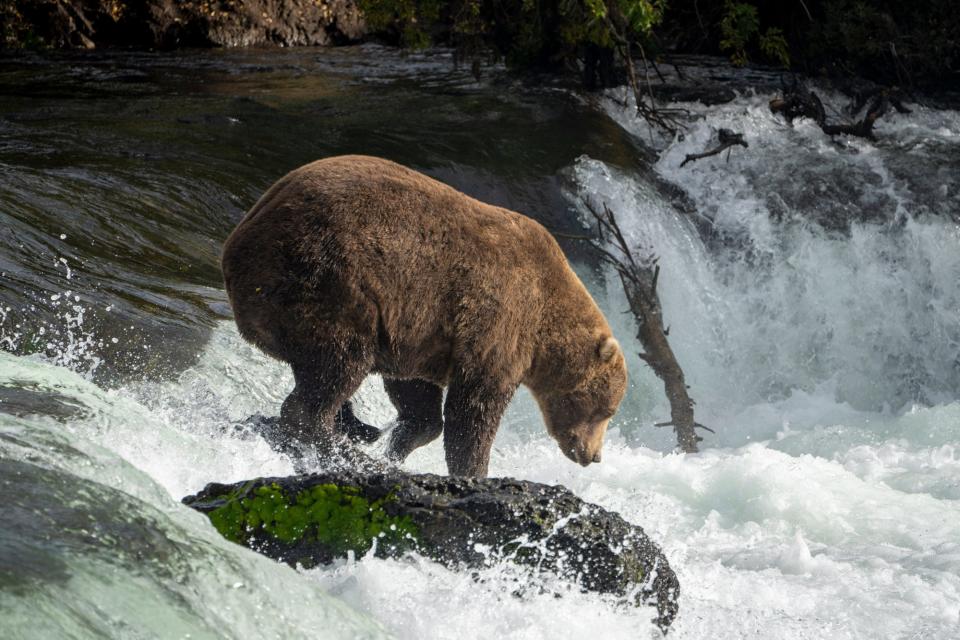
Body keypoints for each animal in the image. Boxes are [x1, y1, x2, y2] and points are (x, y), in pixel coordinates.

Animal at [224, 155, 632, 476]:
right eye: (606, 410)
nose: (594, 456)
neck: (546, 332)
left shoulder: (419, 332)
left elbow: (416, 392)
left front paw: (400, 443)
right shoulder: (501, 323)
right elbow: (474, 411)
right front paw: (474, 471)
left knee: (320, 370)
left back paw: (356, 429)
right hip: (328, 277)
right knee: (338, 364)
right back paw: (339, 444)